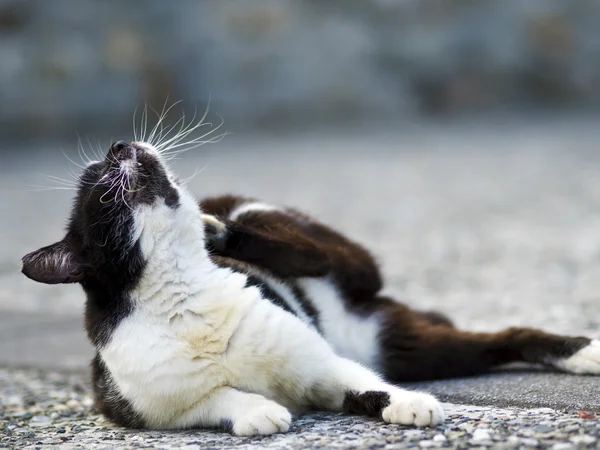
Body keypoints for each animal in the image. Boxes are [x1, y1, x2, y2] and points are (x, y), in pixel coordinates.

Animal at [21, 140, 600, 436]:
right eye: (100, 188)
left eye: (103, 169)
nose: (119, 143)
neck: (184, 292)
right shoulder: (141, 409)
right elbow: (217, 398)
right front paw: (259, 411)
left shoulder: (321, 363)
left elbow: (369, 385)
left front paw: (412, 406)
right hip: (400, 343)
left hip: (346, 277)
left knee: (506, 333)